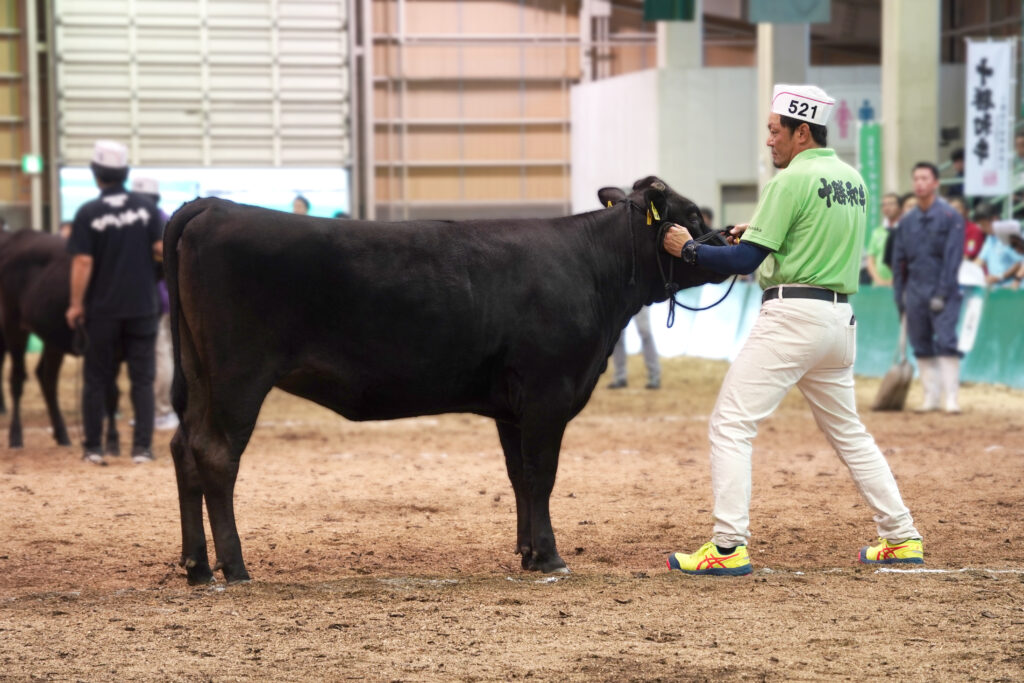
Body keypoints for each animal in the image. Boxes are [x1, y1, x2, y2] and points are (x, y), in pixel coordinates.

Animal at [0, 231, 119, 448]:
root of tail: (18, 236)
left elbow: (112, 391)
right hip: (12, 325)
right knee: (18, 378)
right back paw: (15, 436)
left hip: (52, 337)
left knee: (46, 377)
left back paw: (62, 434)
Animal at [165, 175, 729, 581]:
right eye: (692, 214)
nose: (730, 242)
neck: (593, 271)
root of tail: (213, 206)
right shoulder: (548, 392)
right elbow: (542, 474)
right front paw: (550, 556)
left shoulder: (512, 407)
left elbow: (519, 475)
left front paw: (527, 552)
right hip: (238, 376)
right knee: (215, 453)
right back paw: (234, 566)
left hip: (198, 376)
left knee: (182, 447)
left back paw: (196, 565)